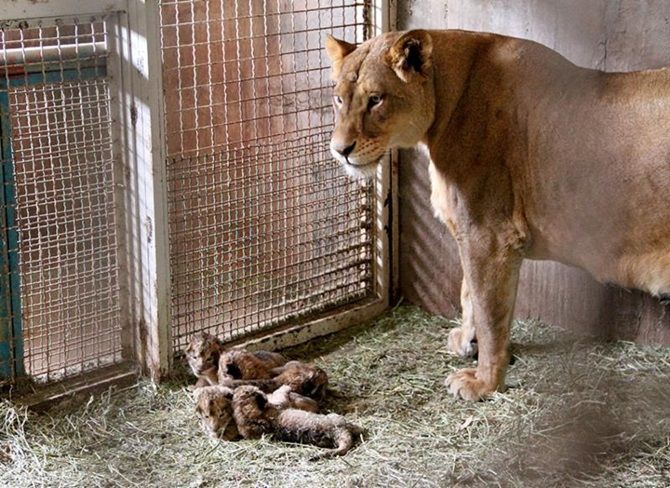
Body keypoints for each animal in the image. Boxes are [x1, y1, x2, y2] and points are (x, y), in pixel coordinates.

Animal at [325, 29, 670, 401]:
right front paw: (466, 342)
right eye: (339, 99)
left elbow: (489, 312)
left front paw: (483, 382)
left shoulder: (490, 235)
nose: (340, 150)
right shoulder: (474, 232)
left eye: (376, 99)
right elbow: (468, 293)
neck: (446, 100)